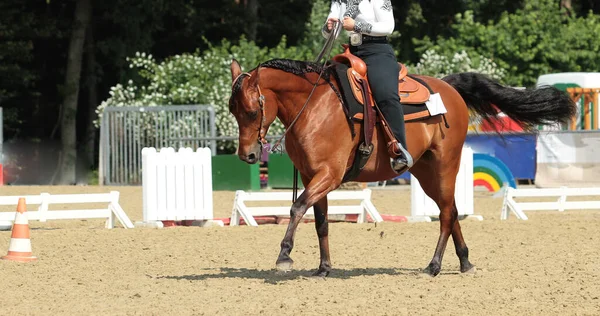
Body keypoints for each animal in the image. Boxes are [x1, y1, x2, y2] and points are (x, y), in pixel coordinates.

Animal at [227, 57, 576, 278]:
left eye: (251, 109)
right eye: (232, 110)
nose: (247, 155)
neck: (314, 105)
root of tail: (447, 87)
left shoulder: (329, 175)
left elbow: (297, 208)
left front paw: (284, 255)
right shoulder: (314, 177)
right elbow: (321, 223)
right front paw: (323, 268)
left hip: (445, 166)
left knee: (446, 214)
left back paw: (434, 266)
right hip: (425, 172)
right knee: (451, 210)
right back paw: (464, 262)